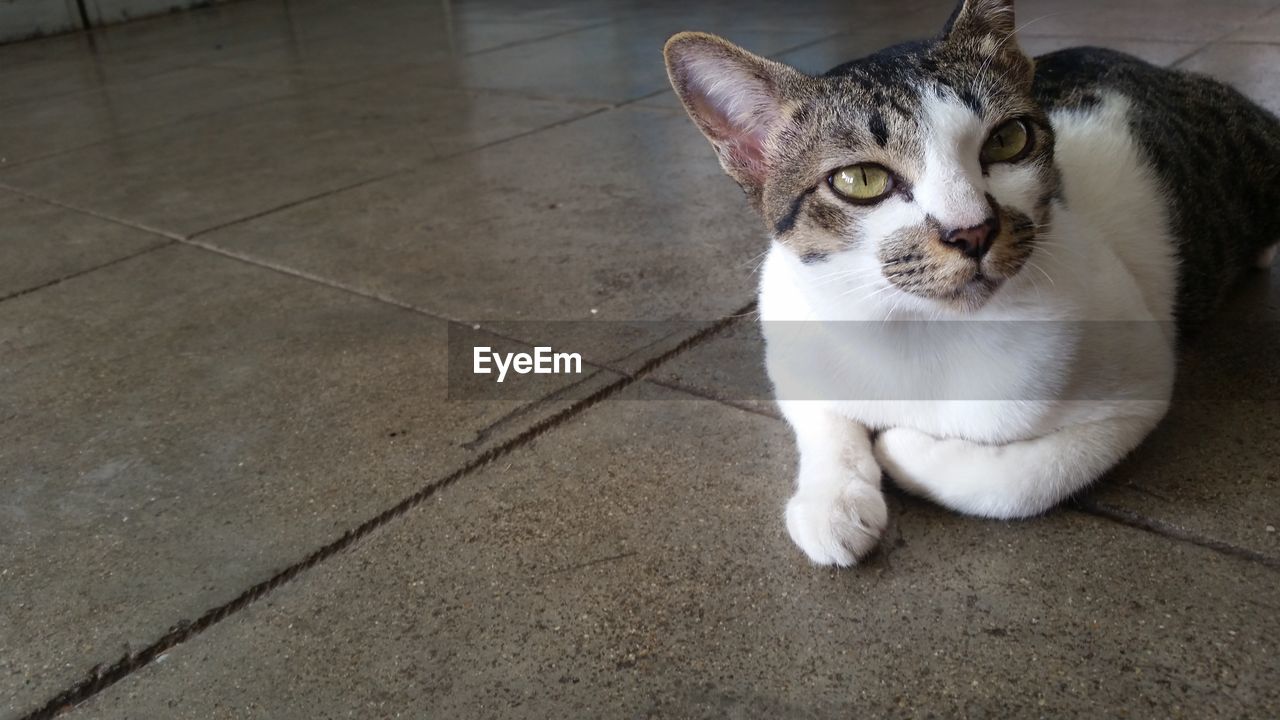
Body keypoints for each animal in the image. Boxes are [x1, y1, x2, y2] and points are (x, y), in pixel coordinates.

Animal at [665, 0, 1274, 563]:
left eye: (1008, 140)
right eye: (860, 179)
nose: (974, 231)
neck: (914, 328)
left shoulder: (1139, 384)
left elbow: (1023, 481)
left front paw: (902, 450)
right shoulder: (789, 328)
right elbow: (819, 410)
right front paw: (832, 499)